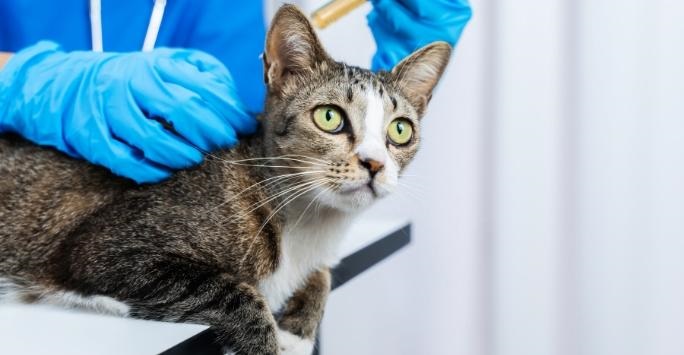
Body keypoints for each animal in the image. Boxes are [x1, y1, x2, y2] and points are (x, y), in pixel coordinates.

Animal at [0, 4, 452, 355]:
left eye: (399, 130)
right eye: (329, 117)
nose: (374, 164)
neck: (308, 224)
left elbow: (322, 275)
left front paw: (297, 330)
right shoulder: (104, 249)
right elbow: (234, 293)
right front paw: (268, 341)